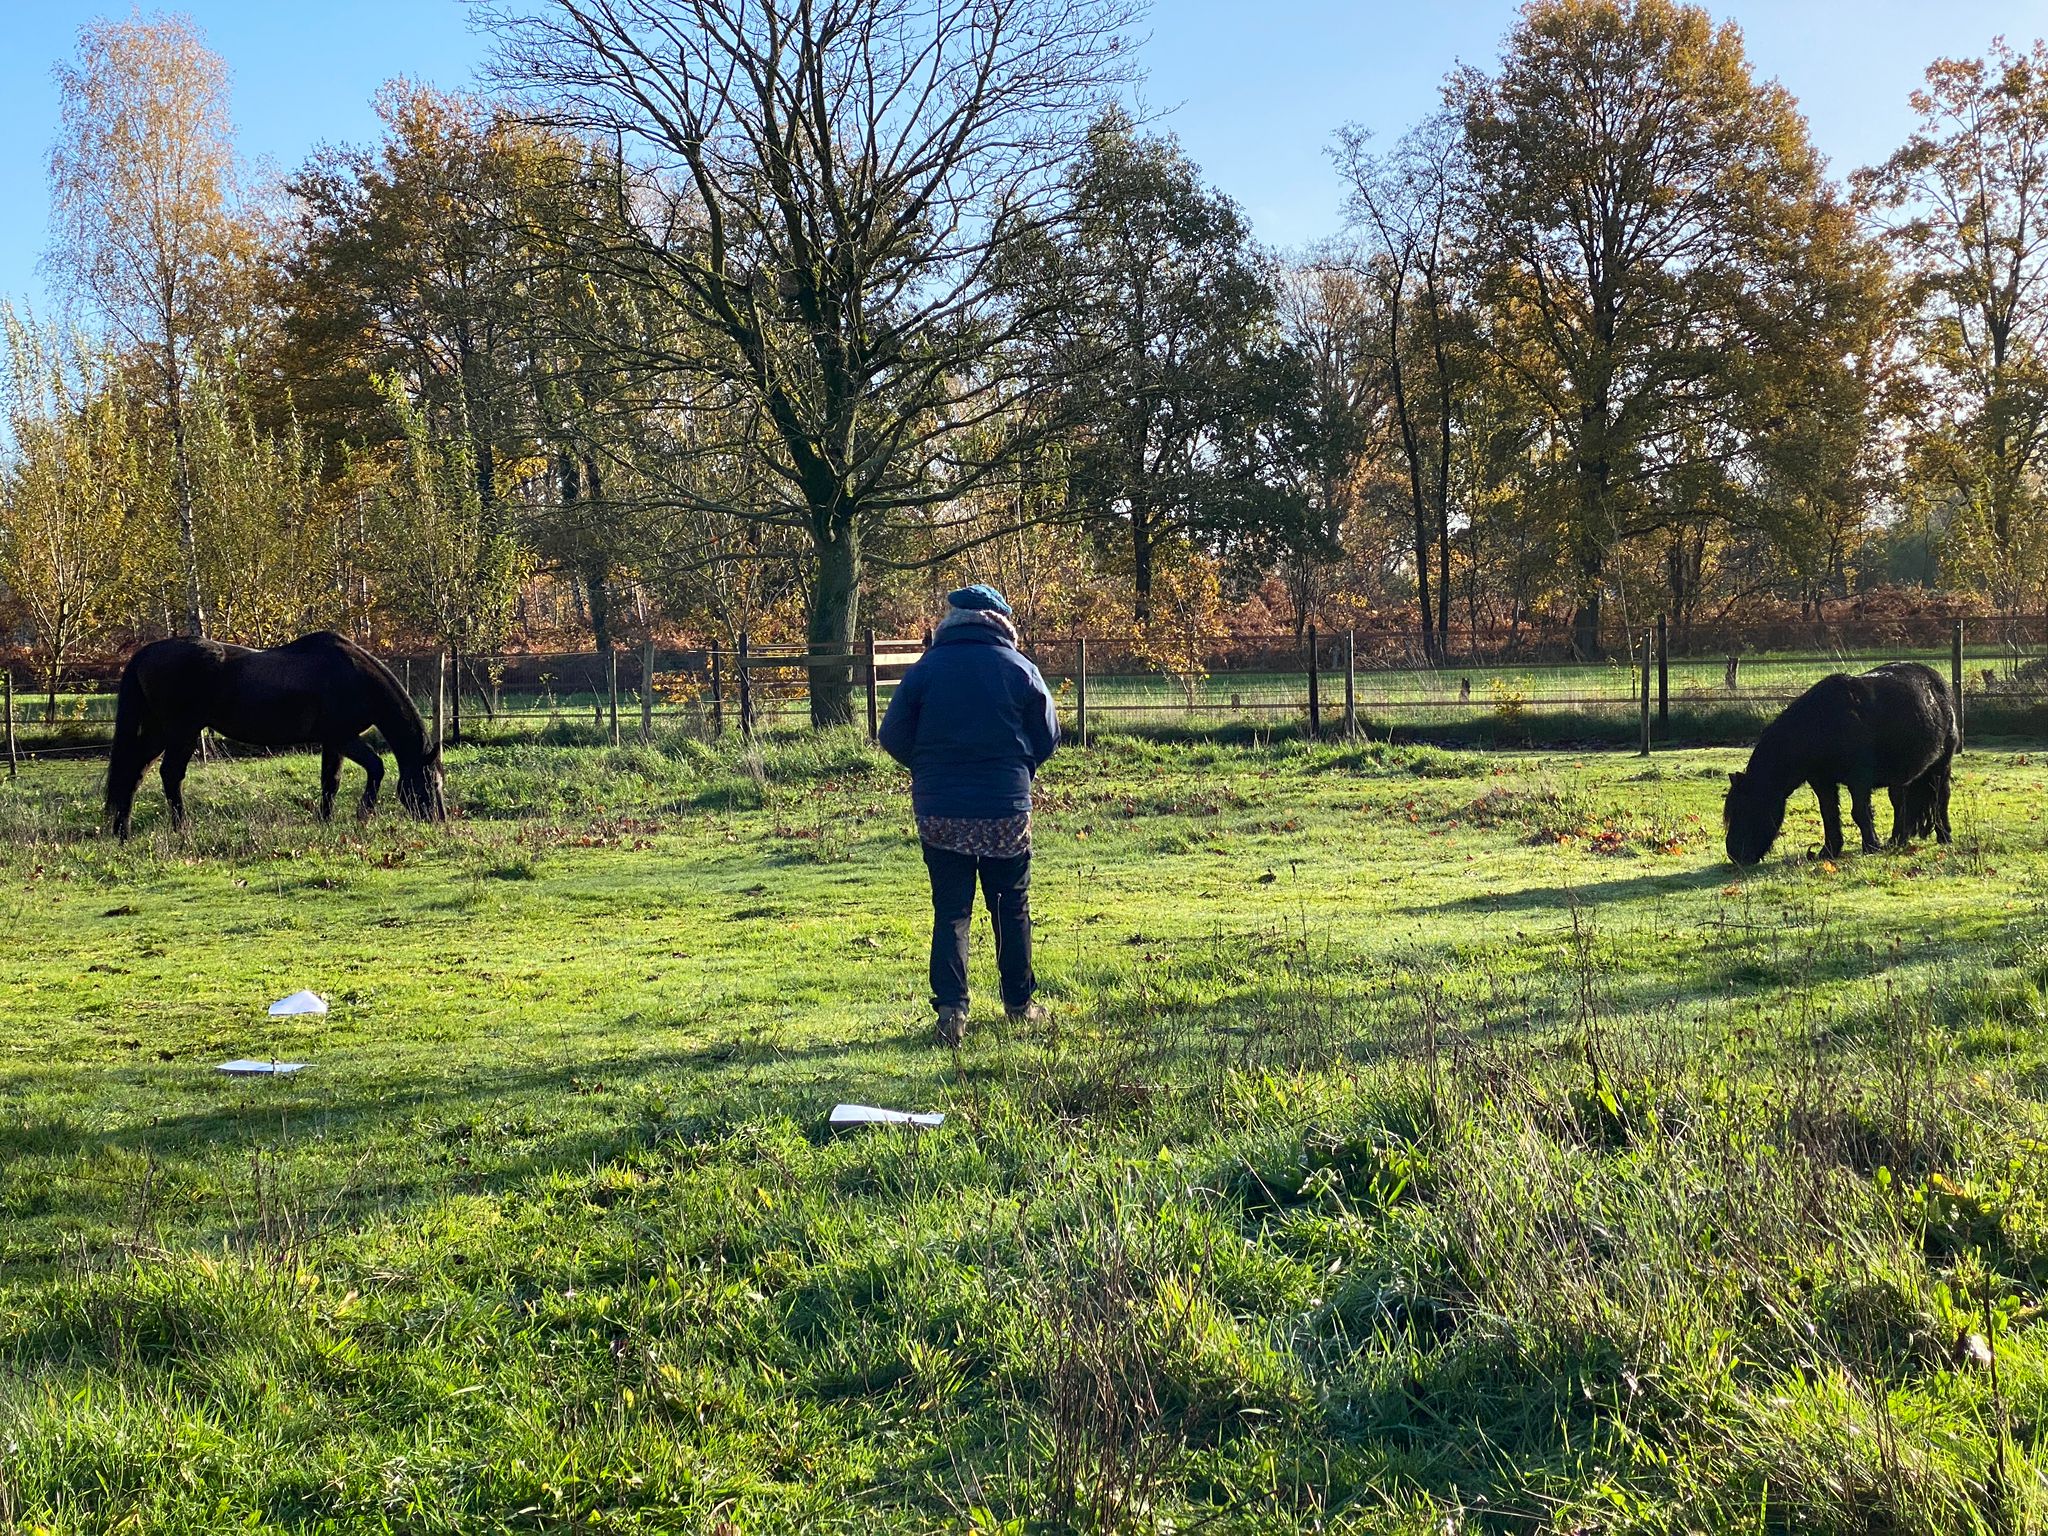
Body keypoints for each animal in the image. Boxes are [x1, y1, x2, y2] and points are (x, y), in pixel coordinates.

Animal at [105, 630, 446, 843]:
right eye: (431, 782)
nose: (439, 820)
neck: (353, 677)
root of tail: (145, 653)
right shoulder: (342, 737)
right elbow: (375, 767)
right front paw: (362, 814)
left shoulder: (333, 741)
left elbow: (331, 781)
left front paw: (326, 820)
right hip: (182, 731)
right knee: (170, 774)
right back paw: (180, 828)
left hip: (160, 731)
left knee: (134, 772)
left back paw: (123, 831)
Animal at [1720, 663, 1957, 872]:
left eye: (1746, 808)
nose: (1735, 855)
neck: (1821, 724)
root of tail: (1937, 682)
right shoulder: (1822, 782)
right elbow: (1829, 814)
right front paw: (1829, 851)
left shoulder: (1859, 780)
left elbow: (1859, 812)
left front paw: (1871, 847)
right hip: (1901, 778)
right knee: (1901, 804)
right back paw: (1897, 841)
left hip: (1940, 767)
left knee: (1941, 798)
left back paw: (1944, 836)